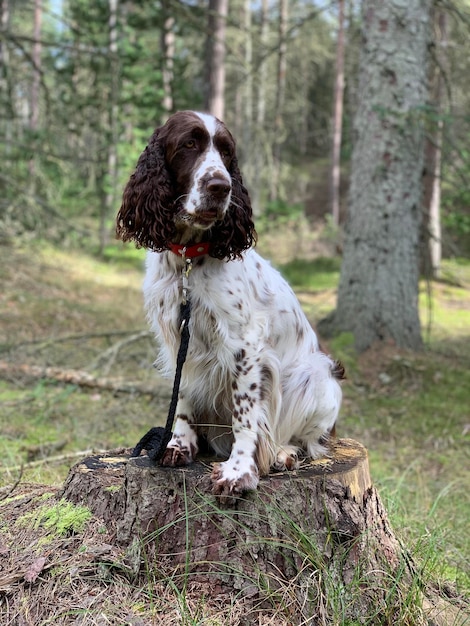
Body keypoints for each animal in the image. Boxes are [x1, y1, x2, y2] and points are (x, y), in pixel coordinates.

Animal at [116, 111, 346, 498]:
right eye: (189, 144)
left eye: (226, 152)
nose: (220, 187)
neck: (189, 258)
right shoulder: (181, 341)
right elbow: (183, 398)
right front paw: (178, 445)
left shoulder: (245, 346)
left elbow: (245, 416)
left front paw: (238, 472)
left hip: (316, 375)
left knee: (307, 440)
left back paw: (282, 454)